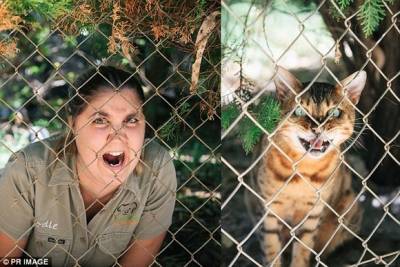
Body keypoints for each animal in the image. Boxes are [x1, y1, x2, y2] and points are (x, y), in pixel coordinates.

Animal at [253, 67, 366, 267]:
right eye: (299, 110)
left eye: (334, 113)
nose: (317, 128)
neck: (303, 172)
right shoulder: (268, 211)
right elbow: (271, 249)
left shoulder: (313, 213)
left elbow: (303, 249)